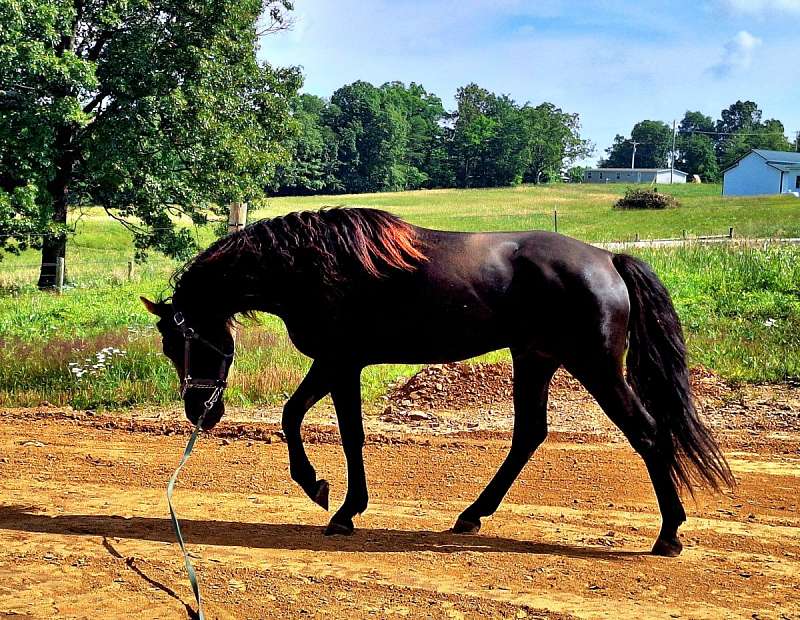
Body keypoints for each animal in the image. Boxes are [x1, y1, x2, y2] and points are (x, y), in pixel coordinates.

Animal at [141, 207, 733, 557]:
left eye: (179, 342)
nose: (200, 411)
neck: (311, 268)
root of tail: (608, 259)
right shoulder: (336, 363)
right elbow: (302, 418)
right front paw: (326, 493)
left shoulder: (340, 362)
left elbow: (337, 431)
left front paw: (334, 501)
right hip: (535, 359)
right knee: (528, 435)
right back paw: (472, 515)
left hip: (595, 367)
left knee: (648, 433)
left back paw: (669, 534)